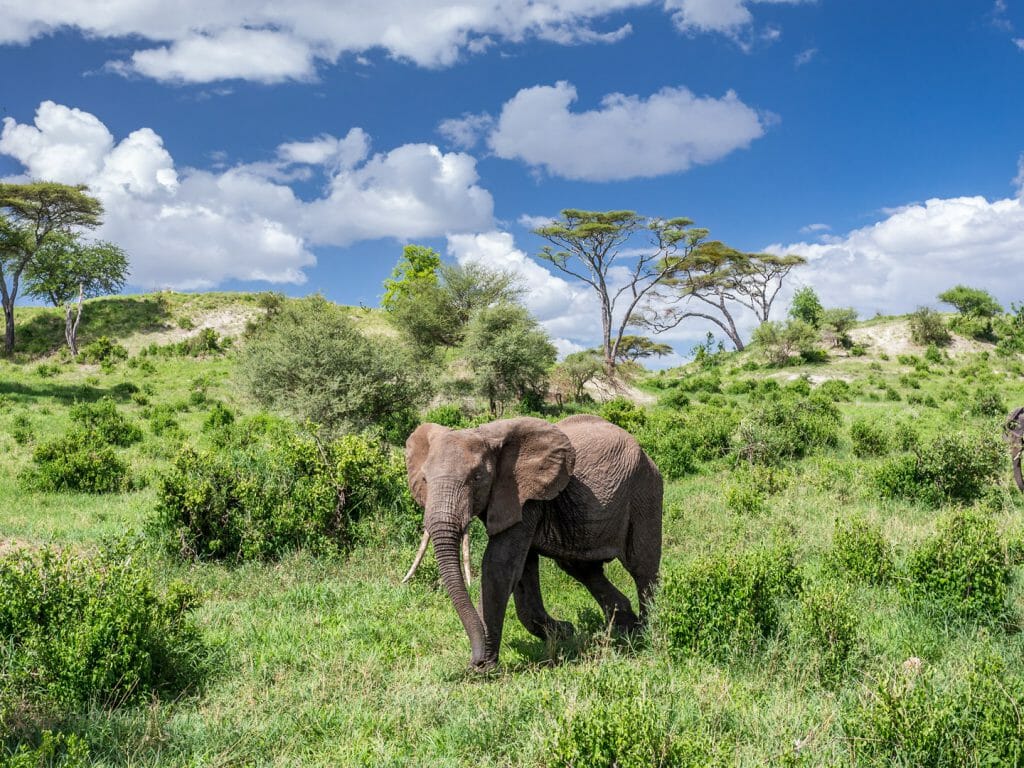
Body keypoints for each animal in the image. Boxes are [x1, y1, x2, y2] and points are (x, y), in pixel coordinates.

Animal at [402, 414, 663, 671]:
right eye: (424, 480)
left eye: (476, 478)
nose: (475, 660)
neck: (484, 434)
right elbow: (522, 570)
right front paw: (565, 632)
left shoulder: (524, 495)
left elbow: (499, 565)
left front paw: (485, 668)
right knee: (581, 568)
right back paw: (624, 626)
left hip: (645, 491)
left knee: (642, 566)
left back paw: (647, 630)